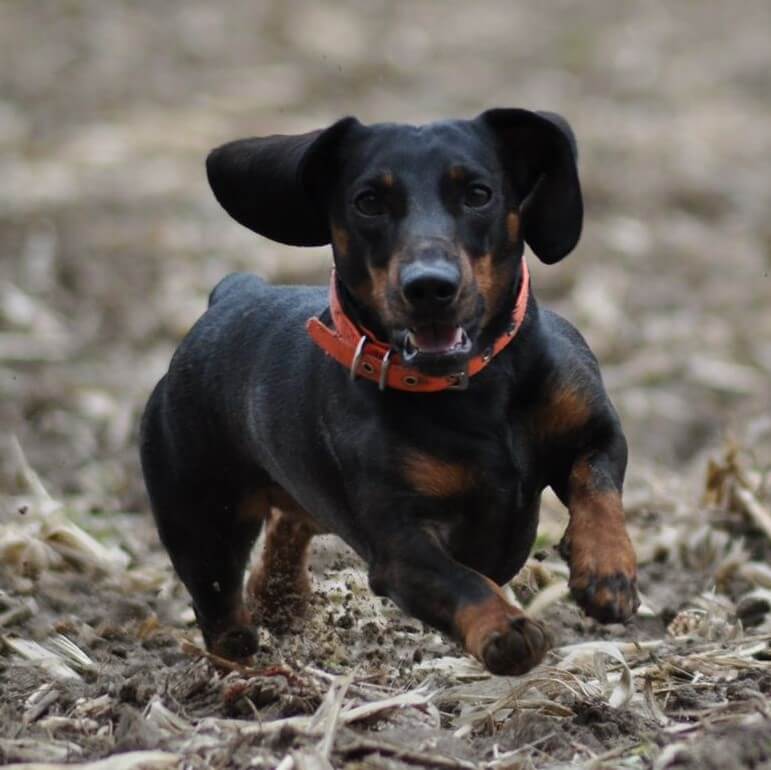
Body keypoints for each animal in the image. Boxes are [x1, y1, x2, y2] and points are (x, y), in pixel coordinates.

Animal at [140, 108, 640, 672]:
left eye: (478, 193)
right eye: (368, 201)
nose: (429, 286)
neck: (475, 389)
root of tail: (230, 294)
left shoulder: (595, 430)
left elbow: (596, 484)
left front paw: (606, 570)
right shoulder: (399, 544)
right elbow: (462, 580)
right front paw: (506, 628)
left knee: (291, 523)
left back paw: (283, 595)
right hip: (200, 516)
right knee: (219, 604)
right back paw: (243, 657)